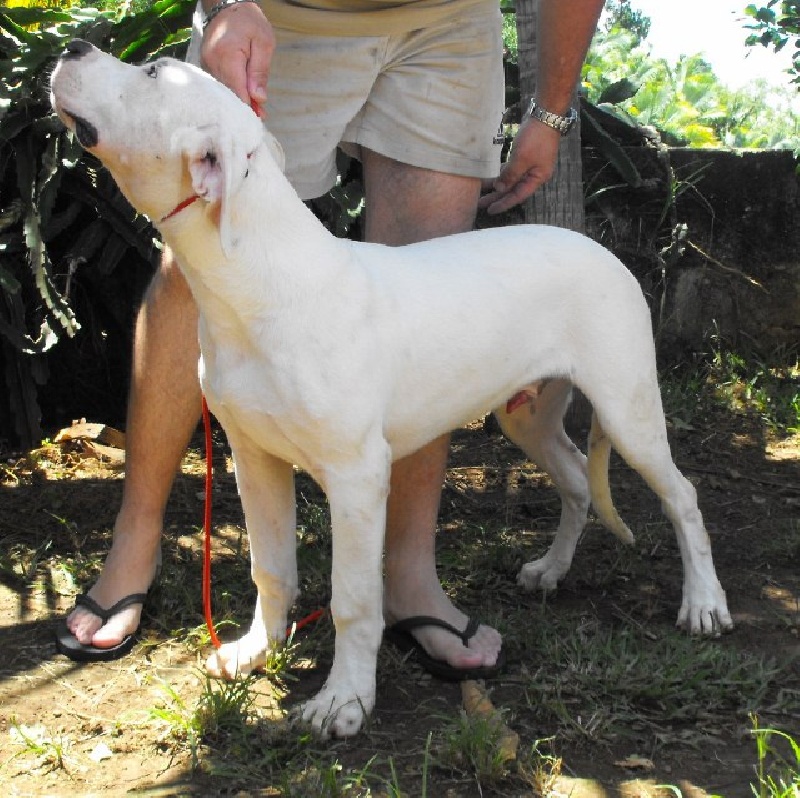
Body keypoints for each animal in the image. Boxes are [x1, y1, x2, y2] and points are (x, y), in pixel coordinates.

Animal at [51, 40, 732, 740]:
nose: (73, 45)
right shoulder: (254, 456)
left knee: (683, 495)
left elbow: (354, 599)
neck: (258, 282)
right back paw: (551, 569)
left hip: (628, 410)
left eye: (152, 72)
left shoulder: (356, 477)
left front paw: (344, 702)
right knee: (575, 478)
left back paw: (704, 603)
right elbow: (270, 567)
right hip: (527, 415)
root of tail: (600, 248)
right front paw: (257, 651)